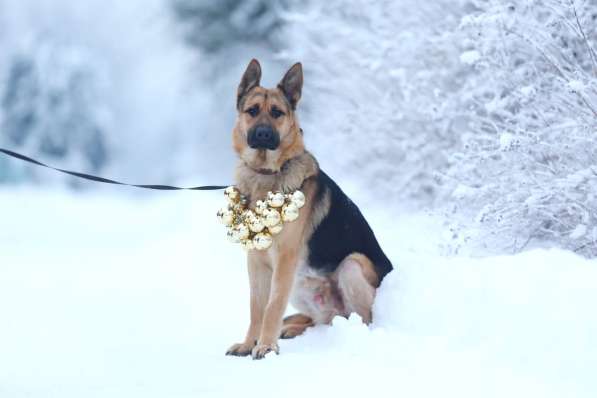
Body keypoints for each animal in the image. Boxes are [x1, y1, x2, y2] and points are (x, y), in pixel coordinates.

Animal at [224, 59, 392, 360]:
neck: (266, 175)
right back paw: (293, 328)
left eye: (277, 113)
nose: (263, 134)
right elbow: (257, 307)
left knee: (360, 318)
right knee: (322, 320)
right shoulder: (256, 260)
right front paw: (248, 343)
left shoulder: (285, 259)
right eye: (252, 111)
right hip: (302, 285)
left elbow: (272, 306)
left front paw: (266, 346)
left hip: (351, 266)